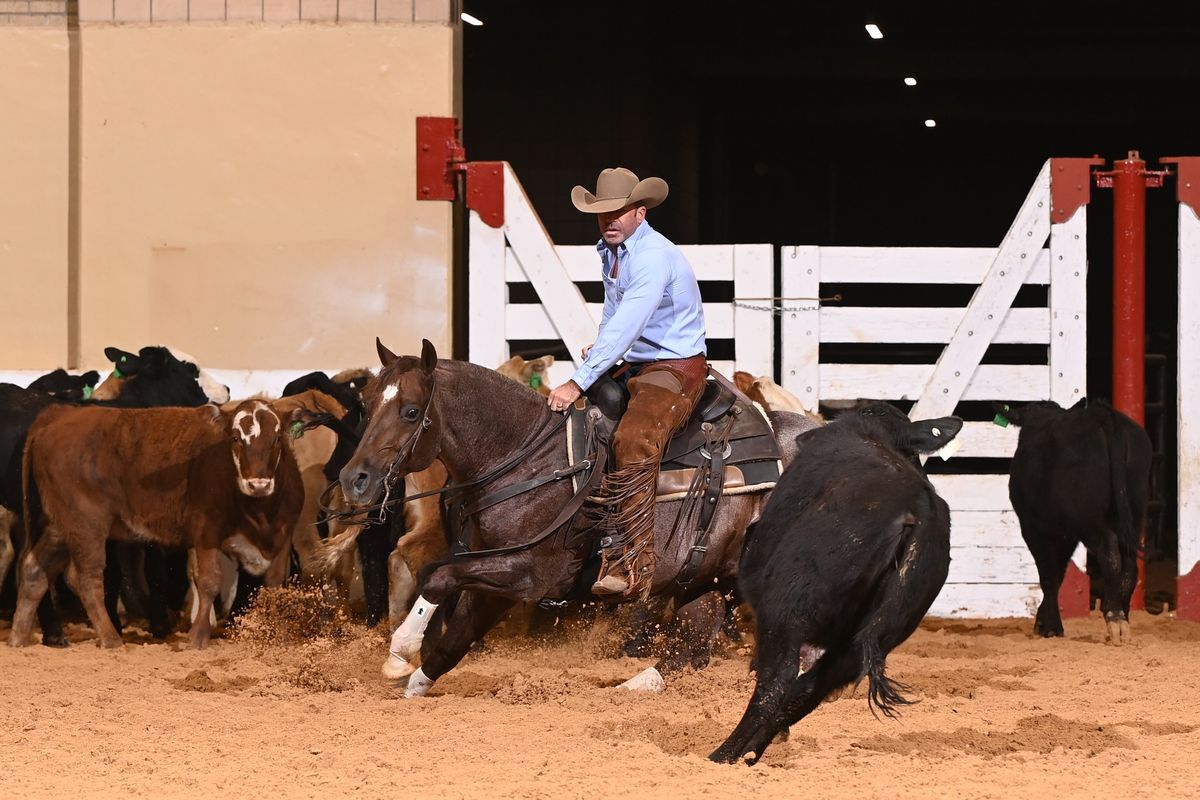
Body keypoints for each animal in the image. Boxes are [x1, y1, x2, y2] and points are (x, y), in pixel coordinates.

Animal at [11, 400, 304, 652]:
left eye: (278, 438)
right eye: (235, 438)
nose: (258, 484)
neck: (258, 510)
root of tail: (60, 414)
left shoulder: (285, 534)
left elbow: (275, 585)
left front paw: (275, 636)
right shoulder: (206, 532)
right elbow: (209, 581)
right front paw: (197, 637)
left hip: (60, 526)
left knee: (34, 570)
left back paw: (20, 638)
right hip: (86, 524)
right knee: (87, 578)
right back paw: (111, 639)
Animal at [338, 340, 816, 695]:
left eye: (411, 410)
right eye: (367, 402)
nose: (353, 478)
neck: (530, 459)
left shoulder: (532, 574)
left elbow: (438, 576)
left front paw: (399, 651)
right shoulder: (494, 582)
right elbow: (451, 642)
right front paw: (412, 681)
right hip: (706, 577)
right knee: (692, 647)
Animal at [710, 402, 955, 767]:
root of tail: (917, 509)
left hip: (786, 613)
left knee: (777, 683)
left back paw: (723, 755)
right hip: (863, 642)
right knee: (810, 688)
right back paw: (751, 753)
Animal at [1003, 398, 1152, 647]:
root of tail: (1100, 414)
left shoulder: (1034, 528)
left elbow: (1049, 576)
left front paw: (1050, 626)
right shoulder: (1066, 535)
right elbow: (1058, 574)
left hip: (1090, 522)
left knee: (1110, 554)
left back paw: (1114, 617)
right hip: (1134, 513)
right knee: (1129, 564)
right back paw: (1123, 618)